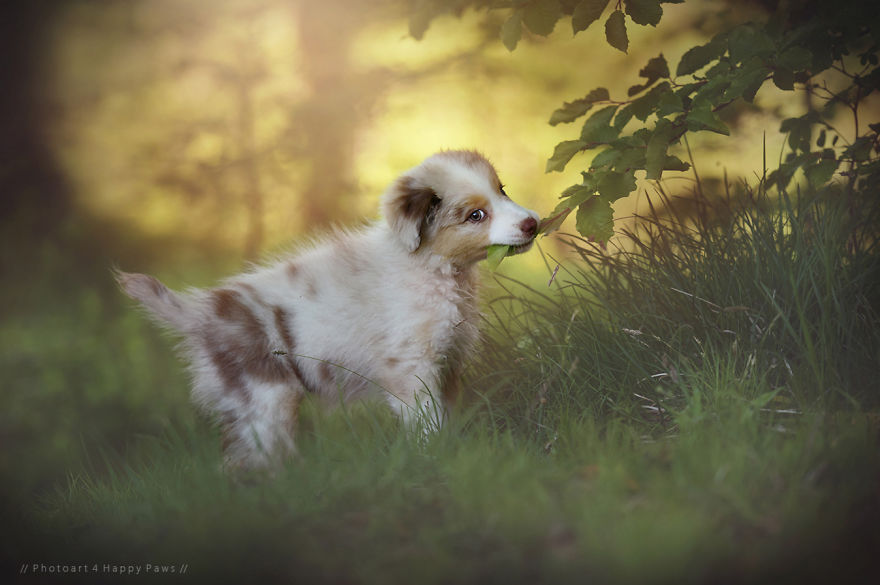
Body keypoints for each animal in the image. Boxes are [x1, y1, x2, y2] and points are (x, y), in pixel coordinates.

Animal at [118, 151, 536, 470]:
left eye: (502, 191)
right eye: (475, 215)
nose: (533, 223)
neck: (433, 268)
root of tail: (205, 310)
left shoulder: (446, 362)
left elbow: (446, 418)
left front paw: (455, 453)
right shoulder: (410, 366)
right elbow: (426, 423)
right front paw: (434, 459)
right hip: (266, 396)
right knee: (248, 459)